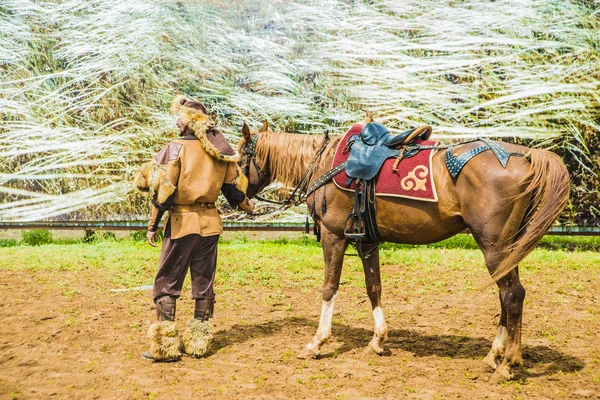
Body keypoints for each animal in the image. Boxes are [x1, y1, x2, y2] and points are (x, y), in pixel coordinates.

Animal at [237, 116, 568, 382]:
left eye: (240, 159)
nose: (239, 200)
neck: (322, 164)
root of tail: (527, 156)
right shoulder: (367, 241)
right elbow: (374, 287)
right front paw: (377, 341)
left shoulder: (334, 237)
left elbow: (330, 288)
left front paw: (317, 343)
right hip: (507, 247)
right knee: (506, 295)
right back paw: (493, 357)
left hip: (494, 245)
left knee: (512, 295)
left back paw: (508, 364)